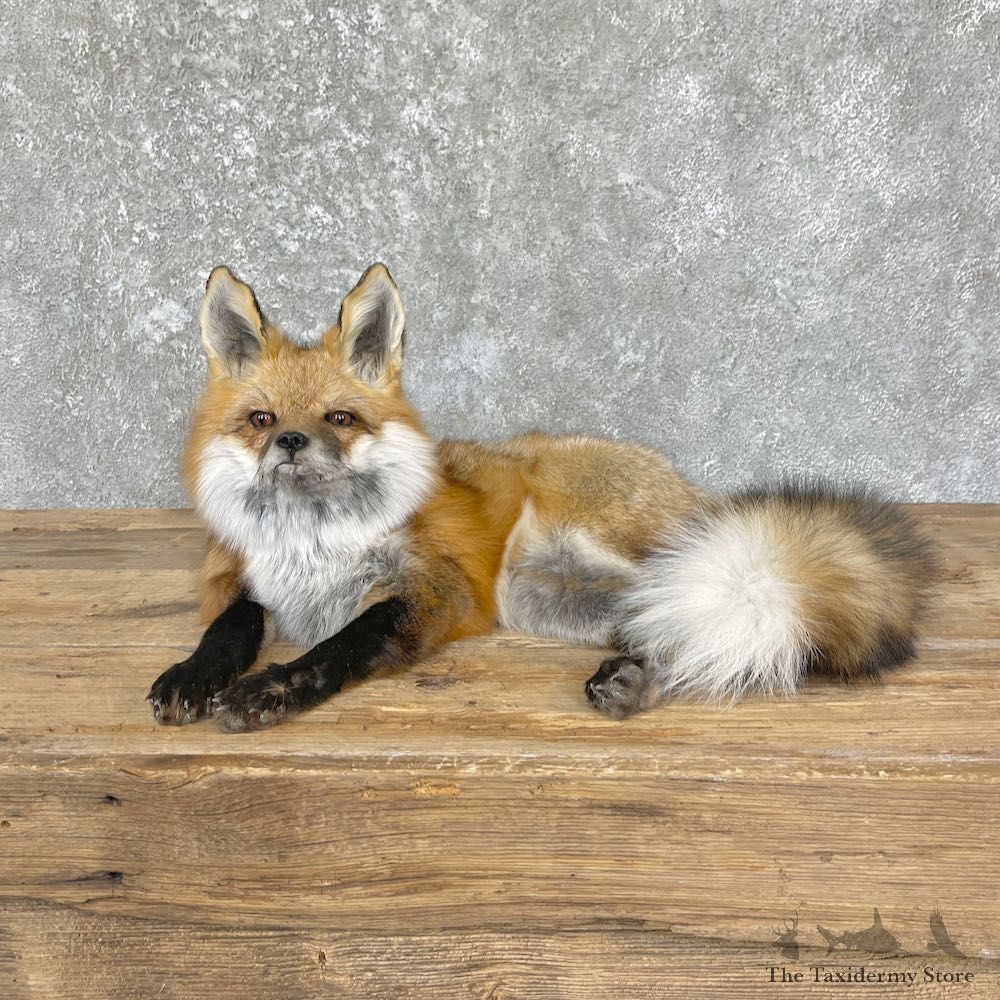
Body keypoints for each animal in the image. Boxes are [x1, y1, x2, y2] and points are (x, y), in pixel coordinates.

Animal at [147, 263, 935, 732]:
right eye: (261, 419)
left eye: (338, 418)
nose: (290, 443)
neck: (311, 547)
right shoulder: (235, 576)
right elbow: (229, 629)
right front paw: (193, 675)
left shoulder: (439, 590)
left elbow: (340, 644)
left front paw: (272, 689)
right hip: (542, 600)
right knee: (694, 630)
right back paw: (637, 682)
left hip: (623, 555)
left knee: (729, 617)